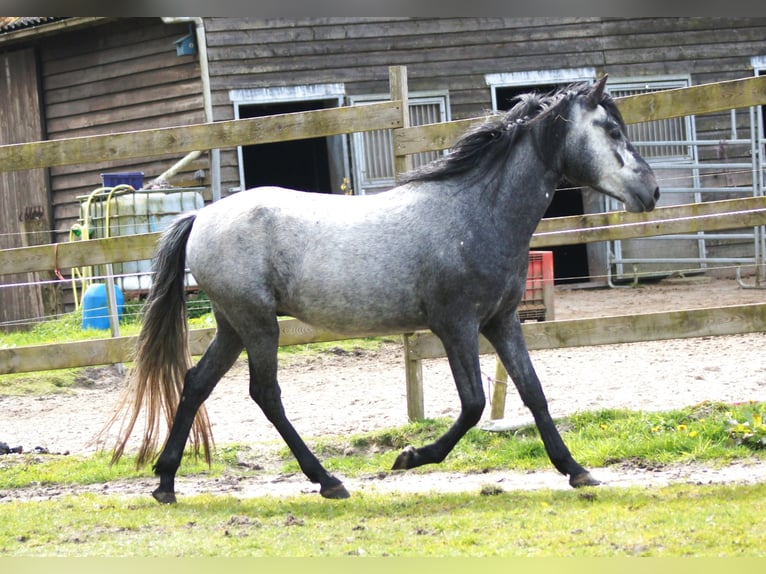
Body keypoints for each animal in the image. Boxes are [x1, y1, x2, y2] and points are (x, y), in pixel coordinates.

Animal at [106, 76, 660, 504]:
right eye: (612, 129)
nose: (651, 191)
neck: (476, 212)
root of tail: (201, 217)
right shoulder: (456, 325)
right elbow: (474, 403)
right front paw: (410, 457)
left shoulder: (501, 322)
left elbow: (533, 392)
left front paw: (577, 471)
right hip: (257, 325)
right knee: (265, 394)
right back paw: (328, 481)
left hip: (233, 326)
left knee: (196, 383)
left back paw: (166, 482)